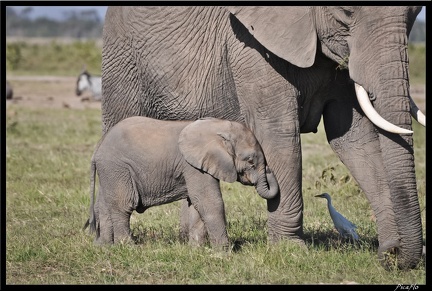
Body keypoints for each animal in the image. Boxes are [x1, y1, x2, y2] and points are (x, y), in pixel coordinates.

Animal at [84, 117, 278, 251]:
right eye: (250, 161)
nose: (269, 170)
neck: (217, 126)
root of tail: (98, 147)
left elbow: (196, 204)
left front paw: (196, 250)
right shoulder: (192, 165)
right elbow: (209, 201)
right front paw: (224, 252)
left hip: (110, 171)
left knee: (104, 205)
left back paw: (104, 246)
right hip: (117, 168)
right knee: (122, 205)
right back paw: (129, 247)